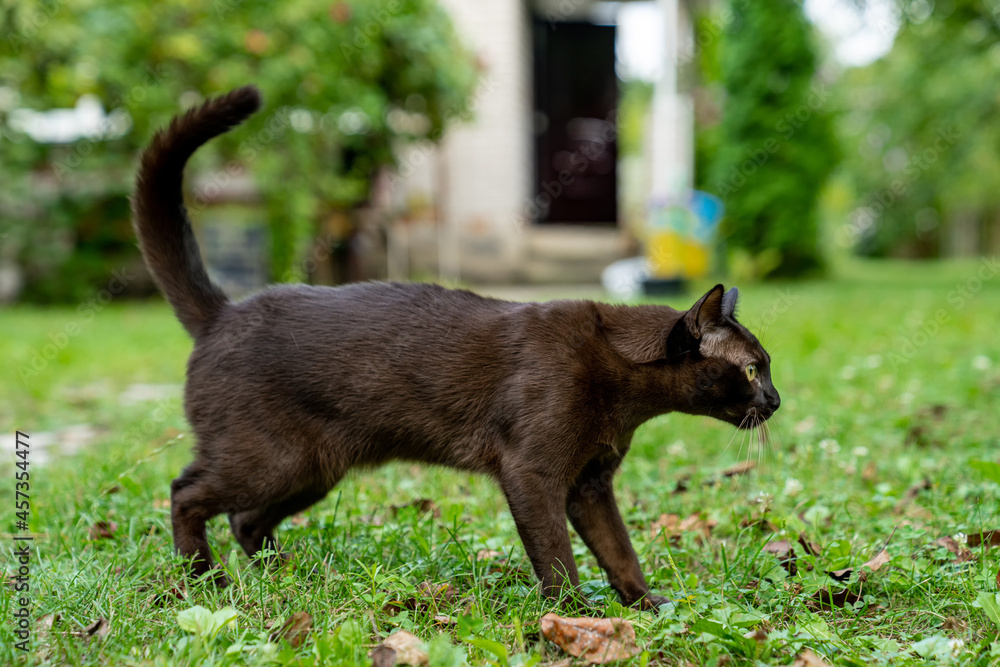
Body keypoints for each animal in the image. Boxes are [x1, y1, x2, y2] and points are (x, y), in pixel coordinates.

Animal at [131, 87, 780, 612]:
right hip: (271, 459)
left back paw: (291, 577)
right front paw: (575, 616)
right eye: (752, 370)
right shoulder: (533, 473)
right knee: (186, 493)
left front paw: (646, 605)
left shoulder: (591, 483)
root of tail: (223, 311)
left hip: (312, 469)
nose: (775, 401)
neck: (624, 395)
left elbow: (619, 550)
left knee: (245, 520)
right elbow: (558, 556)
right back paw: (205, 580)